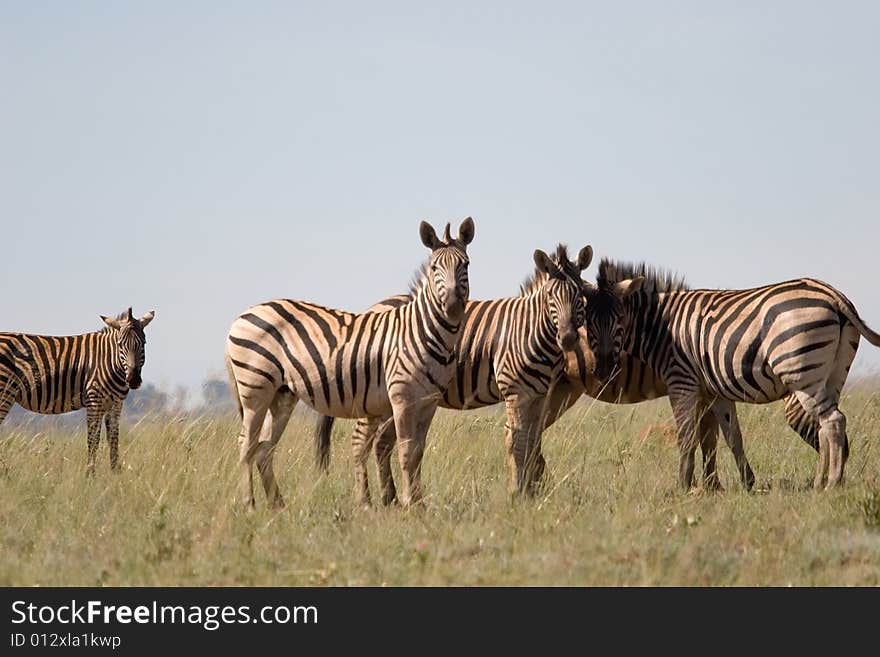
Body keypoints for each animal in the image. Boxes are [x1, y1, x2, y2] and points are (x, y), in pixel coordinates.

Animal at [0, 304, 156, 474]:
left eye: (143, 343)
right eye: (120, 344)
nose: (133, 380)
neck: (109, 361)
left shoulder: (115, 403)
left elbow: (113, 438)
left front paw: (116, 473)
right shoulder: (94, 400)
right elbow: (93, 439)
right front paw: (90, 474)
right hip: (4, 391)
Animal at [223, 218, 478, 510]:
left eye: (465, 265)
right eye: (435, 267)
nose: (453, 307)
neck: (424, 331)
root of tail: (241, 316)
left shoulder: (429, 402)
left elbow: (417, 453)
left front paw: (418, 502)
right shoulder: (402, 400)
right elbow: (405, 451)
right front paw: (409, 503)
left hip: (281, 395)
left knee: (264, 447)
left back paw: (278, 504)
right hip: (255, 389)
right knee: (246, 444)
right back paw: (250, 505)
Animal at [318, 243, 604, 504]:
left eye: (580, 296)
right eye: (550, 296)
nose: (568, 338)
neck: (529, 329)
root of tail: (369, 310)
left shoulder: (540, 394)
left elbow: (532, 441)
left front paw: (531, 493)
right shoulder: (516, 393)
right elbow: (517, 441)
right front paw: (518, 494)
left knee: (381, 443)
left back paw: (391, 499)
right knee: (365, 441)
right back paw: (374, 500)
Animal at [580, 258, 876, 490]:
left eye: (619, 320)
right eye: (587, 323)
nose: (604, 369)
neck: (660, 326)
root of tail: (833, 294)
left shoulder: (681, 382)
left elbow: (686, 437)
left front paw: (683, 485)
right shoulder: (714, 391)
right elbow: (732, 437)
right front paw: (747, 482)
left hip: (802, 374)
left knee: (833, 421)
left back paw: (831, 483)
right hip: (833, 374)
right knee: (827, 424)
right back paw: (820, 482)